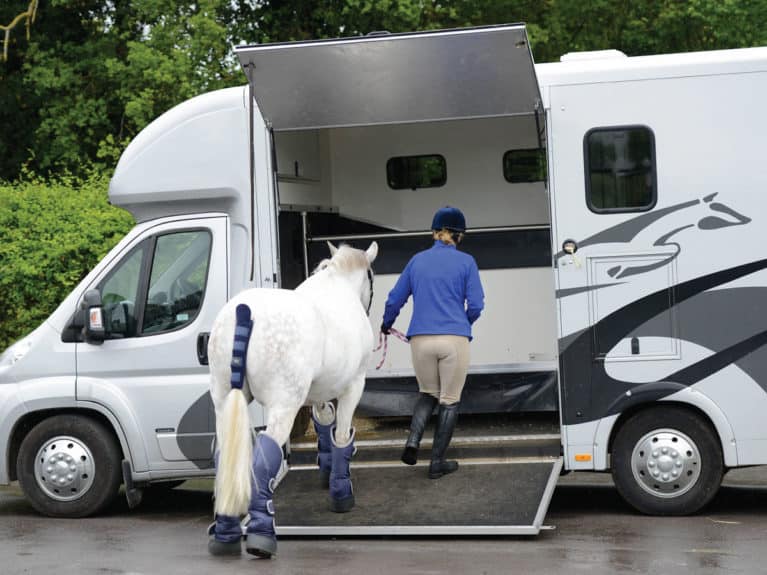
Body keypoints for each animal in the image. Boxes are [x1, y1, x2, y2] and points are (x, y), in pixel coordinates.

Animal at [206, 242, 376, 560]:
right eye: (371, 278)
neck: (337, 283)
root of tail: (244, 314)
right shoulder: (353, 385)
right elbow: (341, 435)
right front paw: (341, 494)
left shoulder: (317, 392)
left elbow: (324, 421)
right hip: (283, 406)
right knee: (264, 459)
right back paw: (261, 538)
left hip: (223, 400)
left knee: (225, 457)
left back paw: (225, 535)